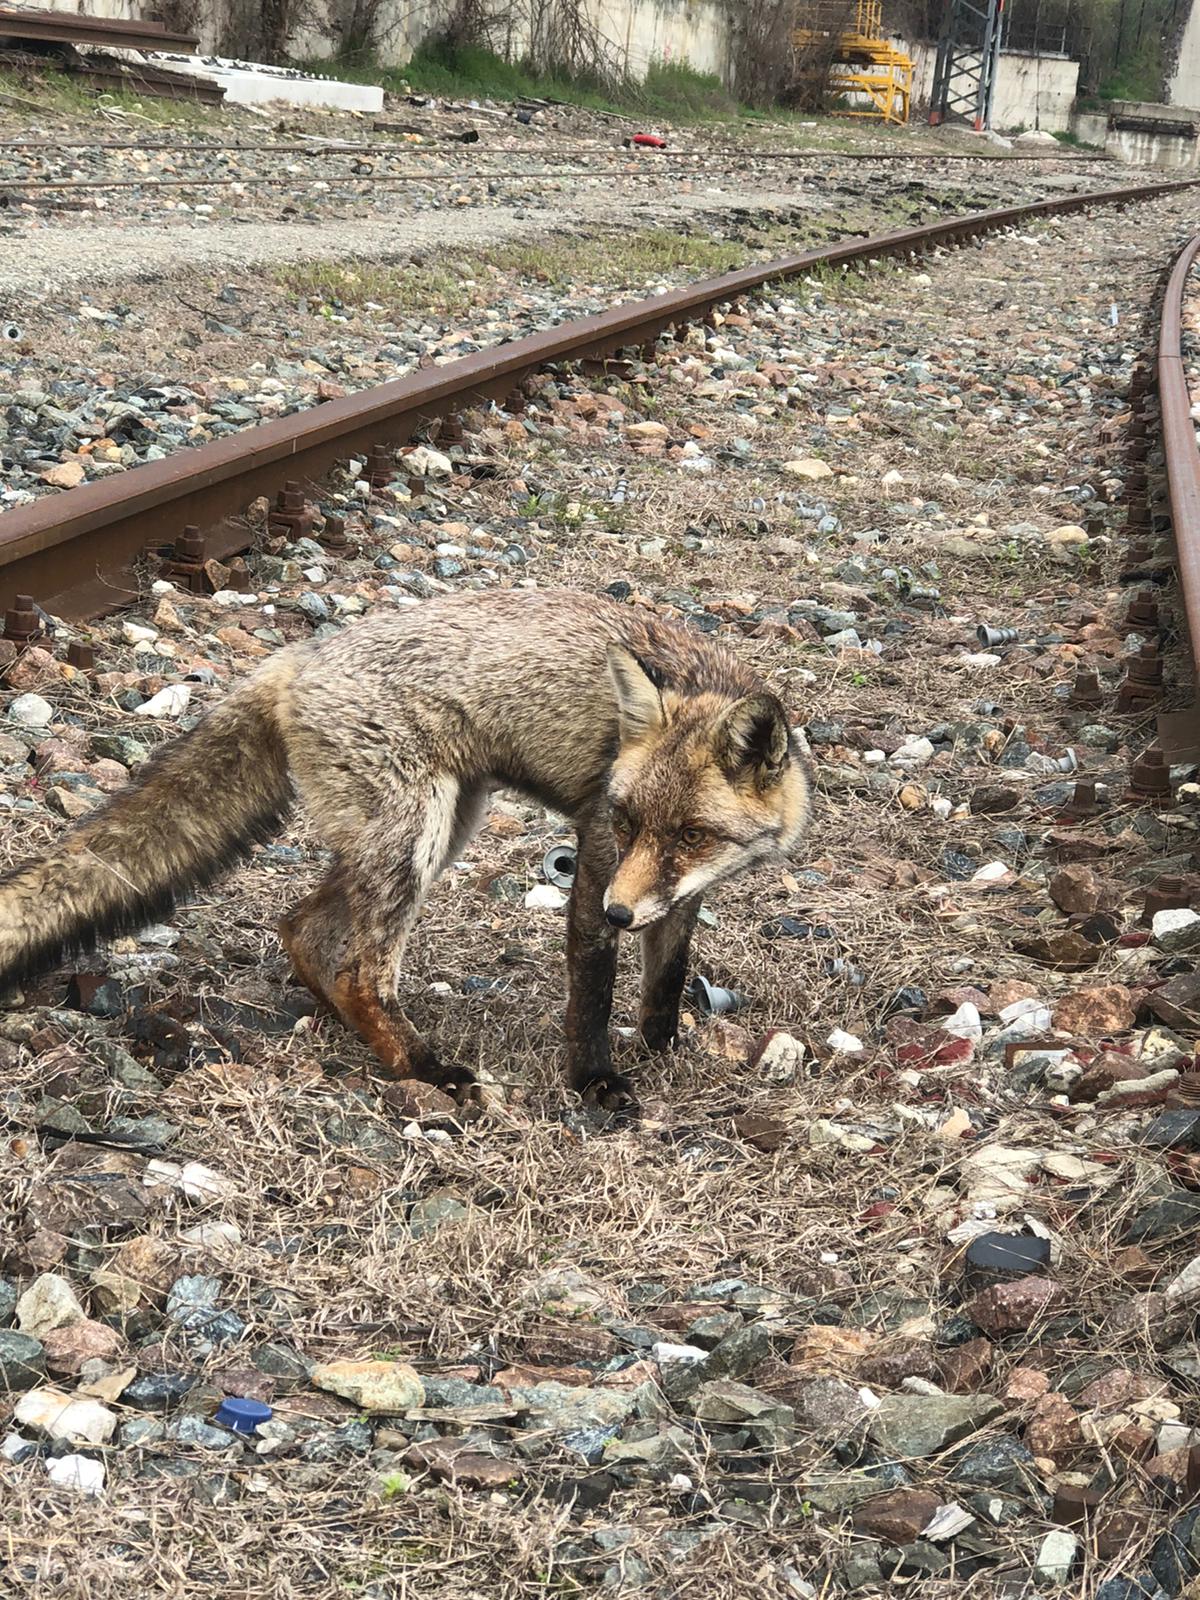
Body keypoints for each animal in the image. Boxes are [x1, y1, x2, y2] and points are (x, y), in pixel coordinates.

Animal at [0, 588, 819, 1113]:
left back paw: (346, 1022)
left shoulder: (679, 890)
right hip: (414, 837)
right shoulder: (594, 864)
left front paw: (662, 1042)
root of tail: (296, 658)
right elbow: (592, 989)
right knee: (361, 970)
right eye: (623, 822)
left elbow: (668, 973)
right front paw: (595, 1081)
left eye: (691, 836)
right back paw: (426, 1070)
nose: (621, 916)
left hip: (440, 826)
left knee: (303, 924)